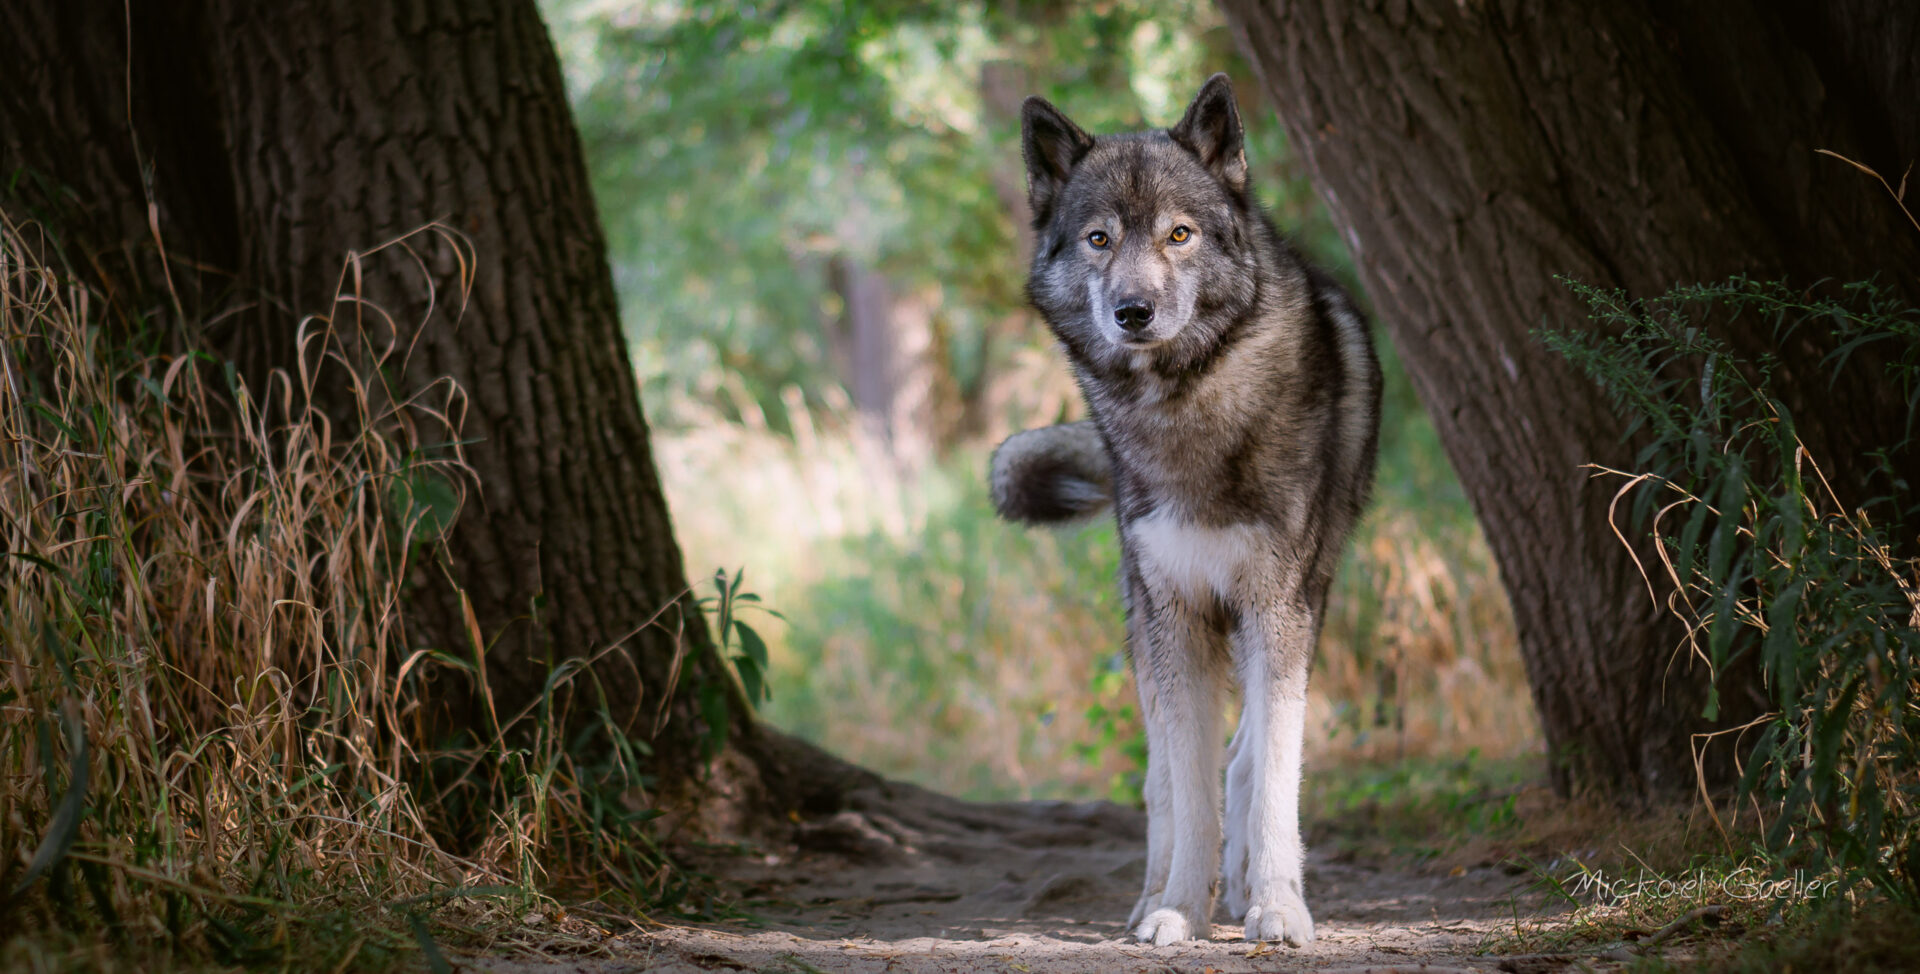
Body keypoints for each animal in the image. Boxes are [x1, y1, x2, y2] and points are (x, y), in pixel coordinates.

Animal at [988, 74, 1382, 946]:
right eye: (1100, 239)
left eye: (1179, 234)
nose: (1133, 311)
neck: (1182, 402)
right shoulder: (1173, 615)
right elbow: (1186, 784)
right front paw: (1176, 908)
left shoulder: (1279, 608)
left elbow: (1272, 774)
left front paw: (1277, 903)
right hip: (1146, 625)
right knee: (1163, 775)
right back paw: (1155, 896)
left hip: (1304, 600)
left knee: (1242, 755)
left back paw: (1238, 887)